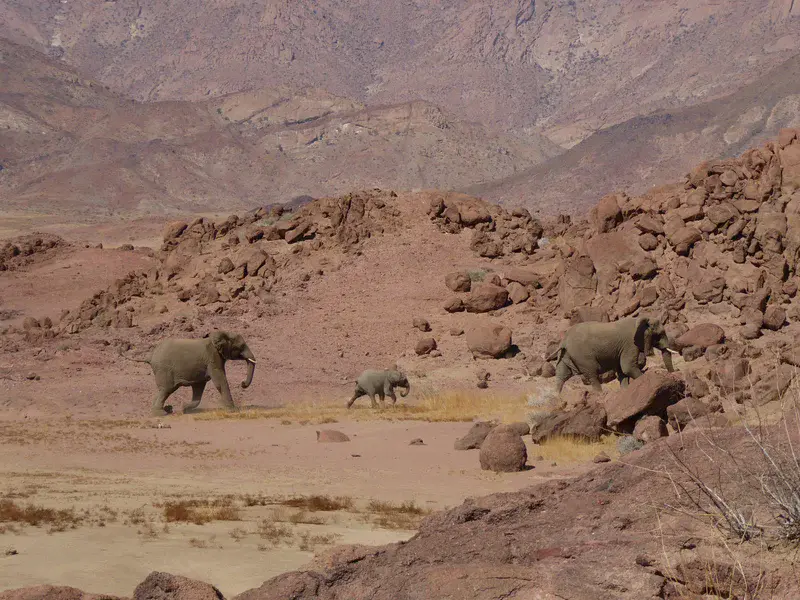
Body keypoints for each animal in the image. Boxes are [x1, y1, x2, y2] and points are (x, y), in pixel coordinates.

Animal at [122, 331, 256, 416]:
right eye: (240, 346)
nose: (242, 383)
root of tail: (150, 356)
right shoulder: (213, 358)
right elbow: (220, 380)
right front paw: (234, 410)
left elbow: (199, 387)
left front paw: (184, 408)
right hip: (164, 370)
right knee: (166, 389)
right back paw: (160, 413)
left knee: (163, 390)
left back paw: (166, 409)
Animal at [546, 316, 675, 393]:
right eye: (659, 335)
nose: (673, 375)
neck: (640, 319)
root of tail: (564, 340)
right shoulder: (629, 344)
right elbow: (627, 367)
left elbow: (622, 371)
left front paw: (625, 390)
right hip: (582, 356)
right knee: (592, 374)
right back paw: (599, 394)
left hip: (566, 354)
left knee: (562, 375)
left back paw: (558, 397)